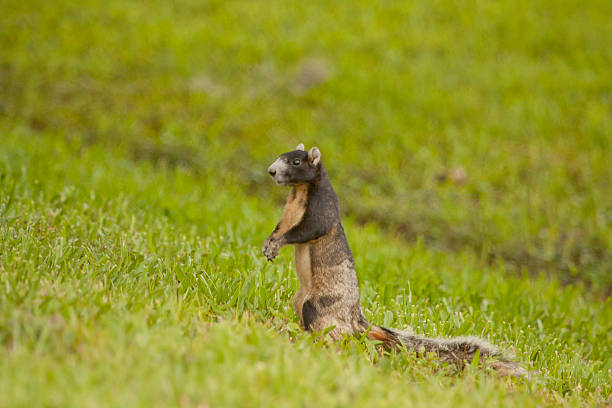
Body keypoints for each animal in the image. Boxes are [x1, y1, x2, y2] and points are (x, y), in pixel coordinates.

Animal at [262, 145, 524, 378]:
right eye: (281, 155)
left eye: (296, 162)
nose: (271, 171)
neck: (298, 193)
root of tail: (355, 319)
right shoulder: (288, 213)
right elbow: (281, 227)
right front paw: (269, 244)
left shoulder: (322, 210)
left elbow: (306, 230)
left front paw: (277, 244)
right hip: (300, 300)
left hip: (318, 304)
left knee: (336, 333)